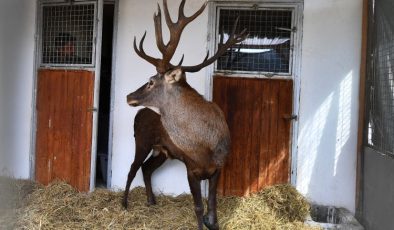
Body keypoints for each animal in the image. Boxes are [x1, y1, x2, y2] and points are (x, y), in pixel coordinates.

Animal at [124, 0, 246, 229]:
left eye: (150, 81)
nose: (129, 96)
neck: (204, 146)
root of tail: (139, 114)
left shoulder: (218, 167)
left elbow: (213, 206)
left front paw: (212, 223)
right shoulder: (191, 168)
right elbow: (198, 207)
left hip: (161, 151)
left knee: (145, 168)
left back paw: (151, 200)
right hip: (142, 141)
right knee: (133, 168)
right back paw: (124, 204)